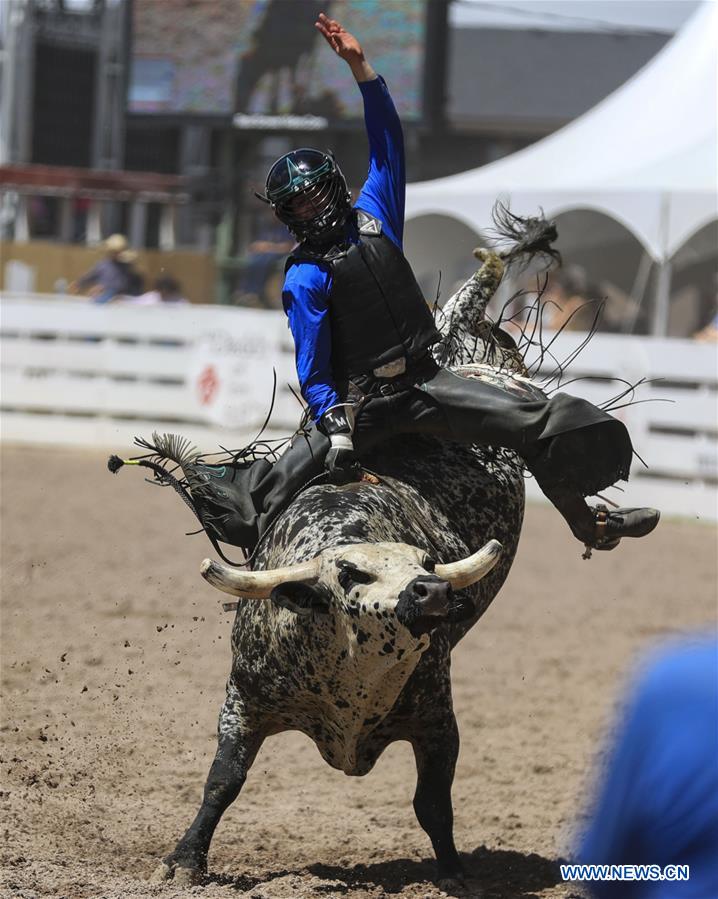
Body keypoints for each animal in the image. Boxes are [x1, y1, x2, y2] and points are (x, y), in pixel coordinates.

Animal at [124, 239, 544, 884]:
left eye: (426, 561)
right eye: (351, 573)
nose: (430, 592)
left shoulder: (438, 715)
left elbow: (434, 802)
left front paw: (452, 870)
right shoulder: (243, 699)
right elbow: (222, 783)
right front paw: (184, 861)